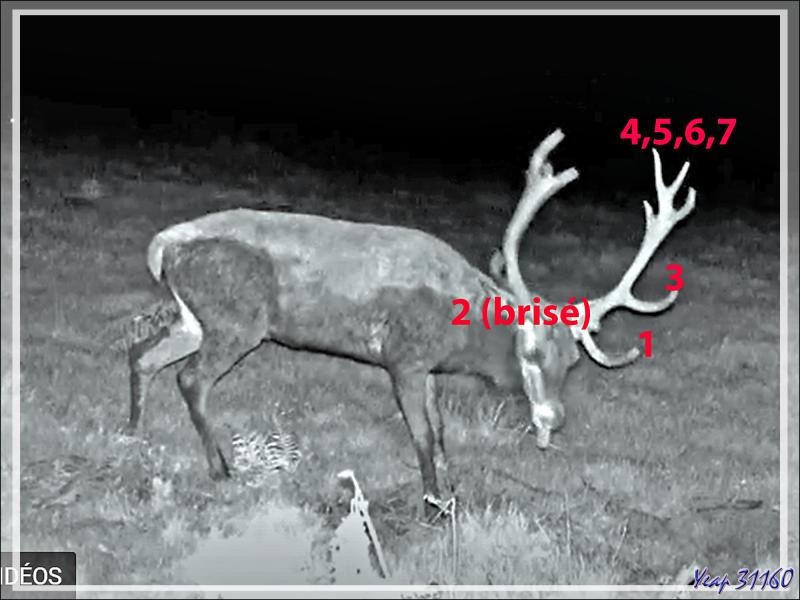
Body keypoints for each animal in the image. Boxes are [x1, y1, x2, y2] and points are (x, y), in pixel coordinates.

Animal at [125, 130, 695, 513]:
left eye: (573, 361)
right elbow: (421, 434)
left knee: (142, 355)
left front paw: (450, 492)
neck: (464, 334)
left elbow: (440, 431)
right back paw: (220, 468)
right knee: (190, 378)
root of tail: (162, 247)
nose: (552, 418)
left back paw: (132, 433)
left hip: (196, 317)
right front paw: (431, 504)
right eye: (531, 351)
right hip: (235, 320)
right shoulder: (404, 358)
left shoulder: (429, 370)